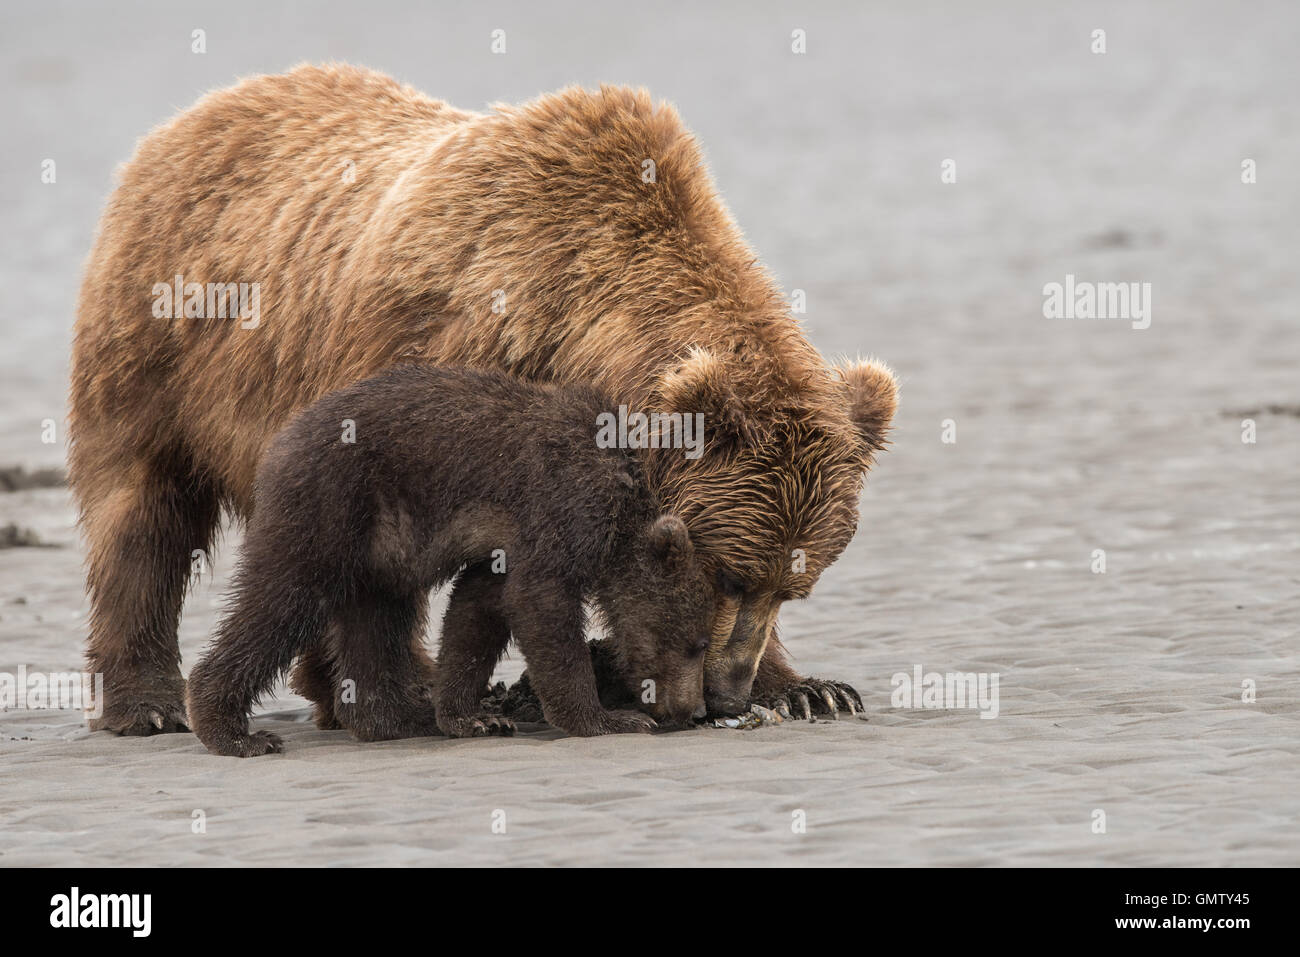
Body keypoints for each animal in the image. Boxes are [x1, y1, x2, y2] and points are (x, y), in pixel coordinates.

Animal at [185, 364, 715, 757]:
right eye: (697, 644)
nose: (693, 711)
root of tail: (282, 437)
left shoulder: (505, 545)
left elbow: (477, 610)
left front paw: (473, 715)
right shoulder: (558, 506)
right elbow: (541, 606)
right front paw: (611, 717)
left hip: (380, 548)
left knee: (376, 621)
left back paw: (398, 717)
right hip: (328, 504)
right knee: (283, 599)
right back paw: (235, 732)